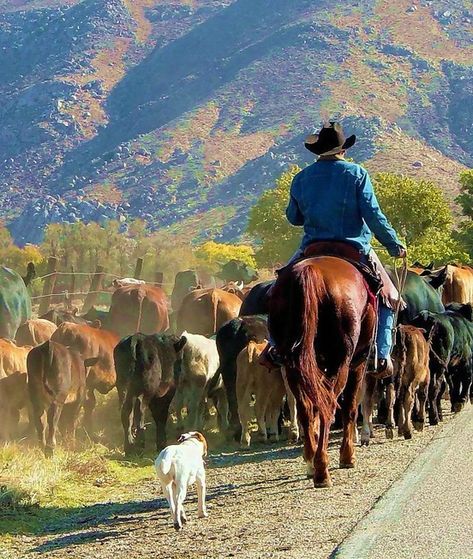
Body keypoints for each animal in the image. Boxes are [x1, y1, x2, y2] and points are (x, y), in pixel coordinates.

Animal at [270, 256, 376, 488]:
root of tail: (311, 272)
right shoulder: (358, 362)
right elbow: (350, 407)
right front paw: (348, 456)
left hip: (293, 365)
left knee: (306, 408)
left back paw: (310, 462)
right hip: (341, 363)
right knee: (330, 406)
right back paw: (322, 470)